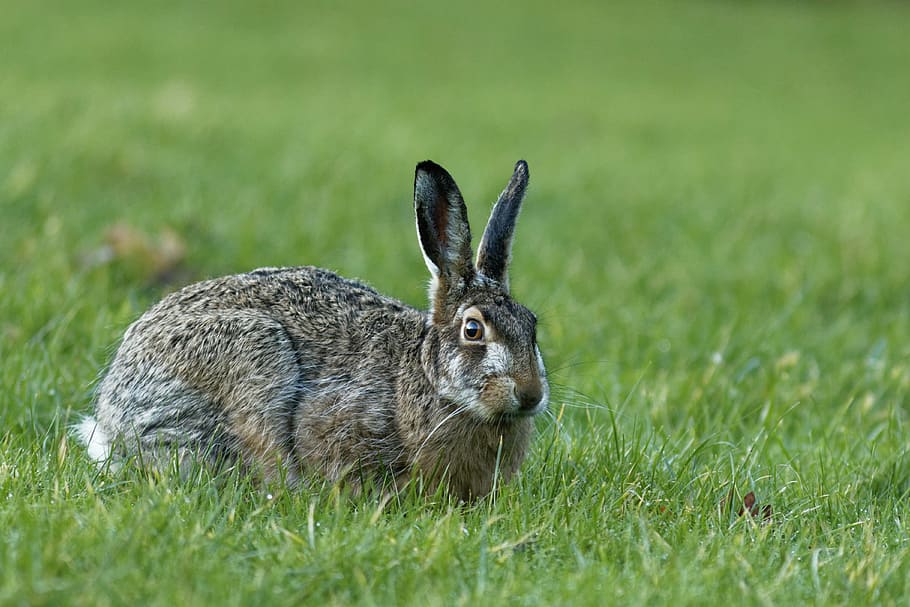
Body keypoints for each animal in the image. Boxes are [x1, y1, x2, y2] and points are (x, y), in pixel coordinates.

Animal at [77, 160, 549, 500]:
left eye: (532, 326)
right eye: (473, 329)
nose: (530, 394)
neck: (430, 382)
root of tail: (110, 421)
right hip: (251, 355)